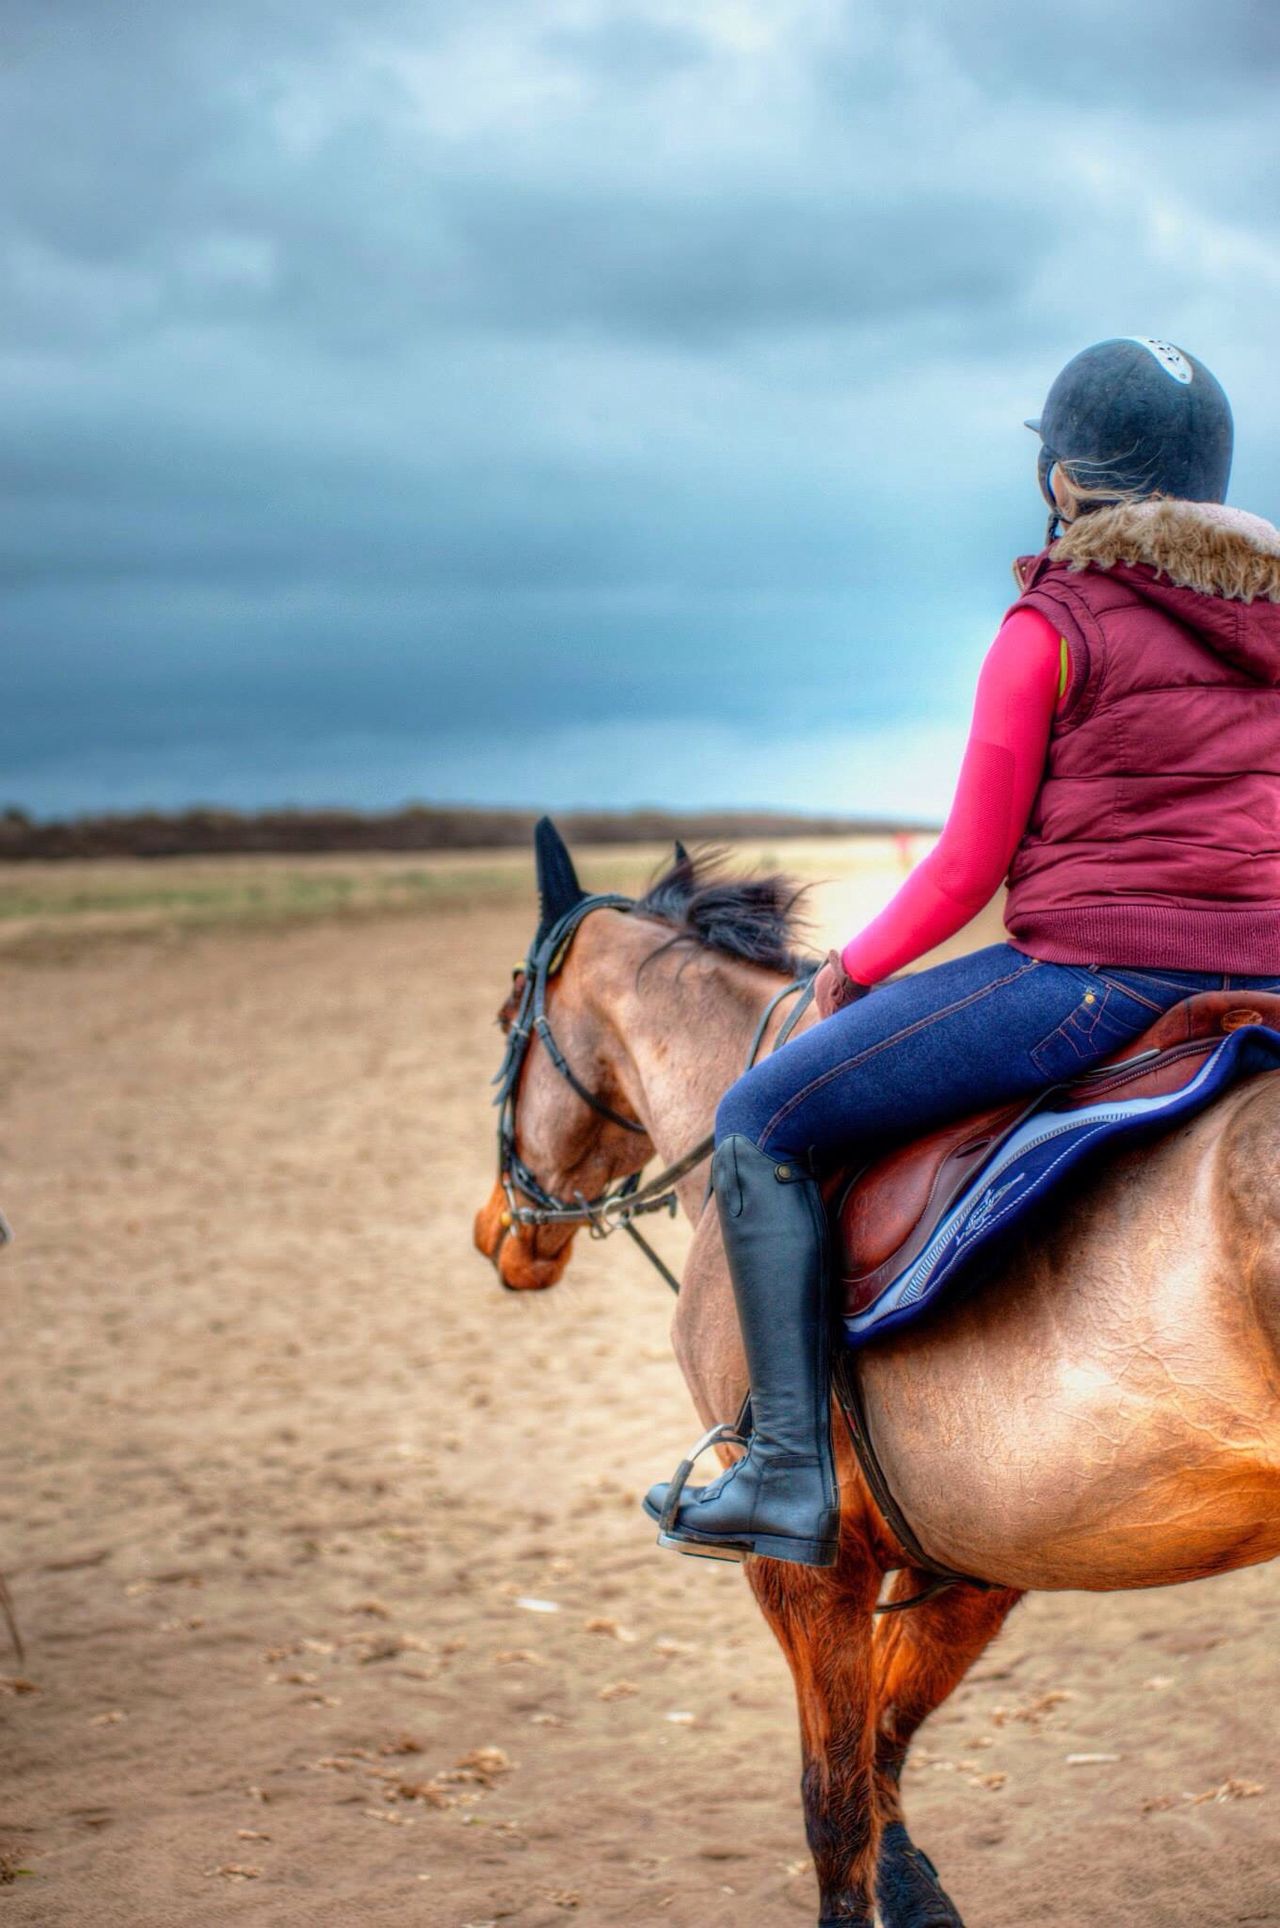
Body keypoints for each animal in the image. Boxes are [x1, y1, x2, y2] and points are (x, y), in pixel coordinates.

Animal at [472, 829, 1280, 1928]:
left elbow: (834, 1801)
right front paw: (919, 1890)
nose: (497, 1232)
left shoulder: (803, 1561)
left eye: (505, 1022)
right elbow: (885, 1742)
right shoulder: (978, 1548)